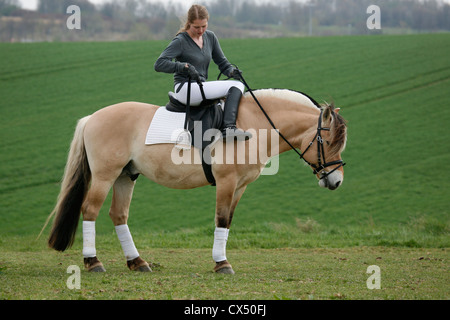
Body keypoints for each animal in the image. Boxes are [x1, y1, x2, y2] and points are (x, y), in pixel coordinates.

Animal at [43, 89, 348, 274]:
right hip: (105, 176)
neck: (254, 124)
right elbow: (221, 219)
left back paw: (137, 262)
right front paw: (222, 264)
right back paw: (93, 262)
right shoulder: (226, 182)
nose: (336, 181)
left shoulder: (240, 186)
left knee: (118, 215)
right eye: (328, 142)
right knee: (90, 210)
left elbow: (229, 221)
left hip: (125, 176)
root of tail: (93, 117)